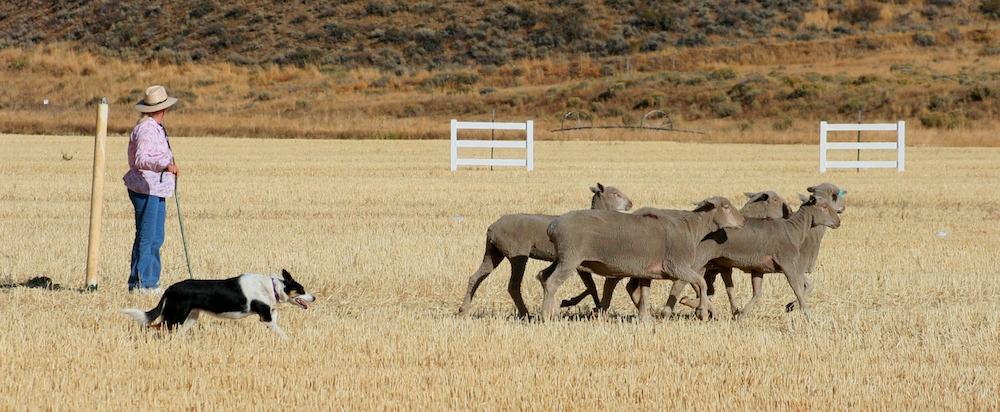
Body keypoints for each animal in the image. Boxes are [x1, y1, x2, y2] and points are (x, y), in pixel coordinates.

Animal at [456, 182, 628, 318]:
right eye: (615, 193)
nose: (630, 203)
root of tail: (492, 229)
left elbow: (590, 287)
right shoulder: (579, 262)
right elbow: (591, 287)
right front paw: (585, 305)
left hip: (493, 252)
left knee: (476, 277)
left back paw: (463, 311)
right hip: (517, 254)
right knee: (513, 286)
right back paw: (526, 314)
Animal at [540, 197, 744, 322]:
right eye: (726, 207)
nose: (742, 221)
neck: (691, 230)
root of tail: (552, 226)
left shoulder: (648, 271)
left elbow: (644, 293)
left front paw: (645, 317)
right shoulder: (676, 266)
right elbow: (701, 282)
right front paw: (702, 311)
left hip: (562, 256)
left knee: (543, 276)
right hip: (570, 257)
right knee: (552, 282)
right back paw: (547, 315)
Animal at [668, 192, 840, 320]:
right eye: (824, 207)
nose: (838, 222)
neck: (794, 231)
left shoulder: (759, 268)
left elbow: (757, 294)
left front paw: (741, 315)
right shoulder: (788, 264)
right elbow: (797, 289)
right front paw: (809, 315)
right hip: (699, 258)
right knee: (683, 282)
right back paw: (678, 309)